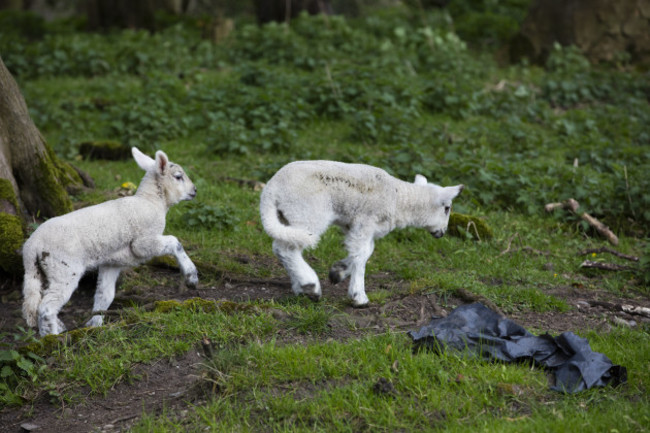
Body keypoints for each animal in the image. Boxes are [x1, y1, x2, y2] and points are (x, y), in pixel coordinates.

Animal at [22, 147, 198, 336]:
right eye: (178, 176)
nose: (195, 190)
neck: (151, 202)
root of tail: (32, 245)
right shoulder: (142, 242)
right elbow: (175, 242)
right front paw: (191, 276)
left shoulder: (112, 261)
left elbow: (105, 295)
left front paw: (95, 325)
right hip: (64, 268)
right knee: (46, 308)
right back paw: (52, 338)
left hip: (41, 270)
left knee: (35, 302)